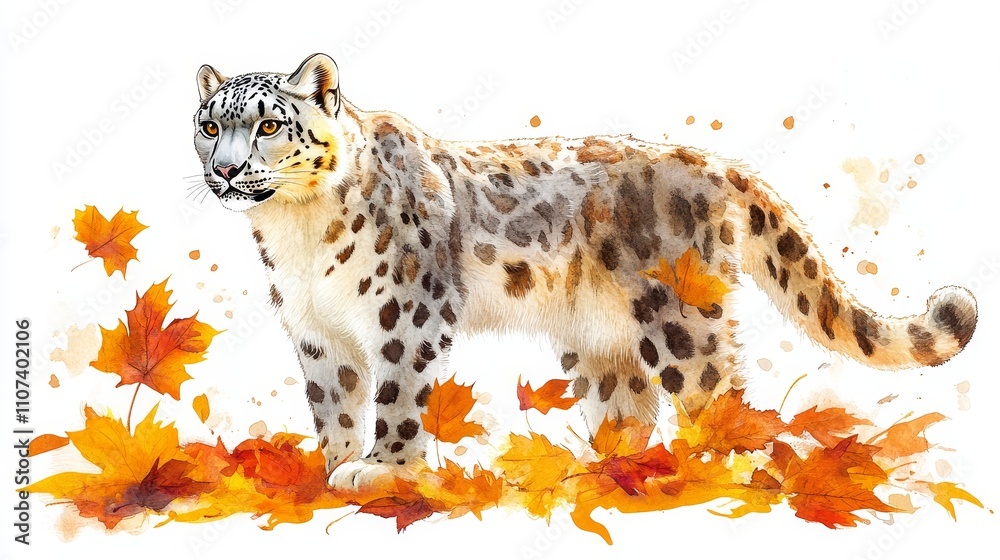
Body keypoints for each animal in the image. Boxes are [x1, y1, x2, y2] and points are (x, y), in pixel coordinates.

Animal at [192, 53, 977, 489]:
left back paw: (713, 470)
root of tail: (716, 165)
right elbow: (334, 399)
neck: (296, 233)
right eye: (209, 124)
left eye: (268, 124)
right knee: (629, 407)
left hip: (683, 319)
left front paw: (384, 470)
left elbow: (398, 394)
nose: (224, 169)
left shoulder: (406, 312)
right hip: (603, 342)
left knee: (717, 394)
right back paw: (605, 472)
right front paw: (332, 466)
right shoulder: (315, 328)